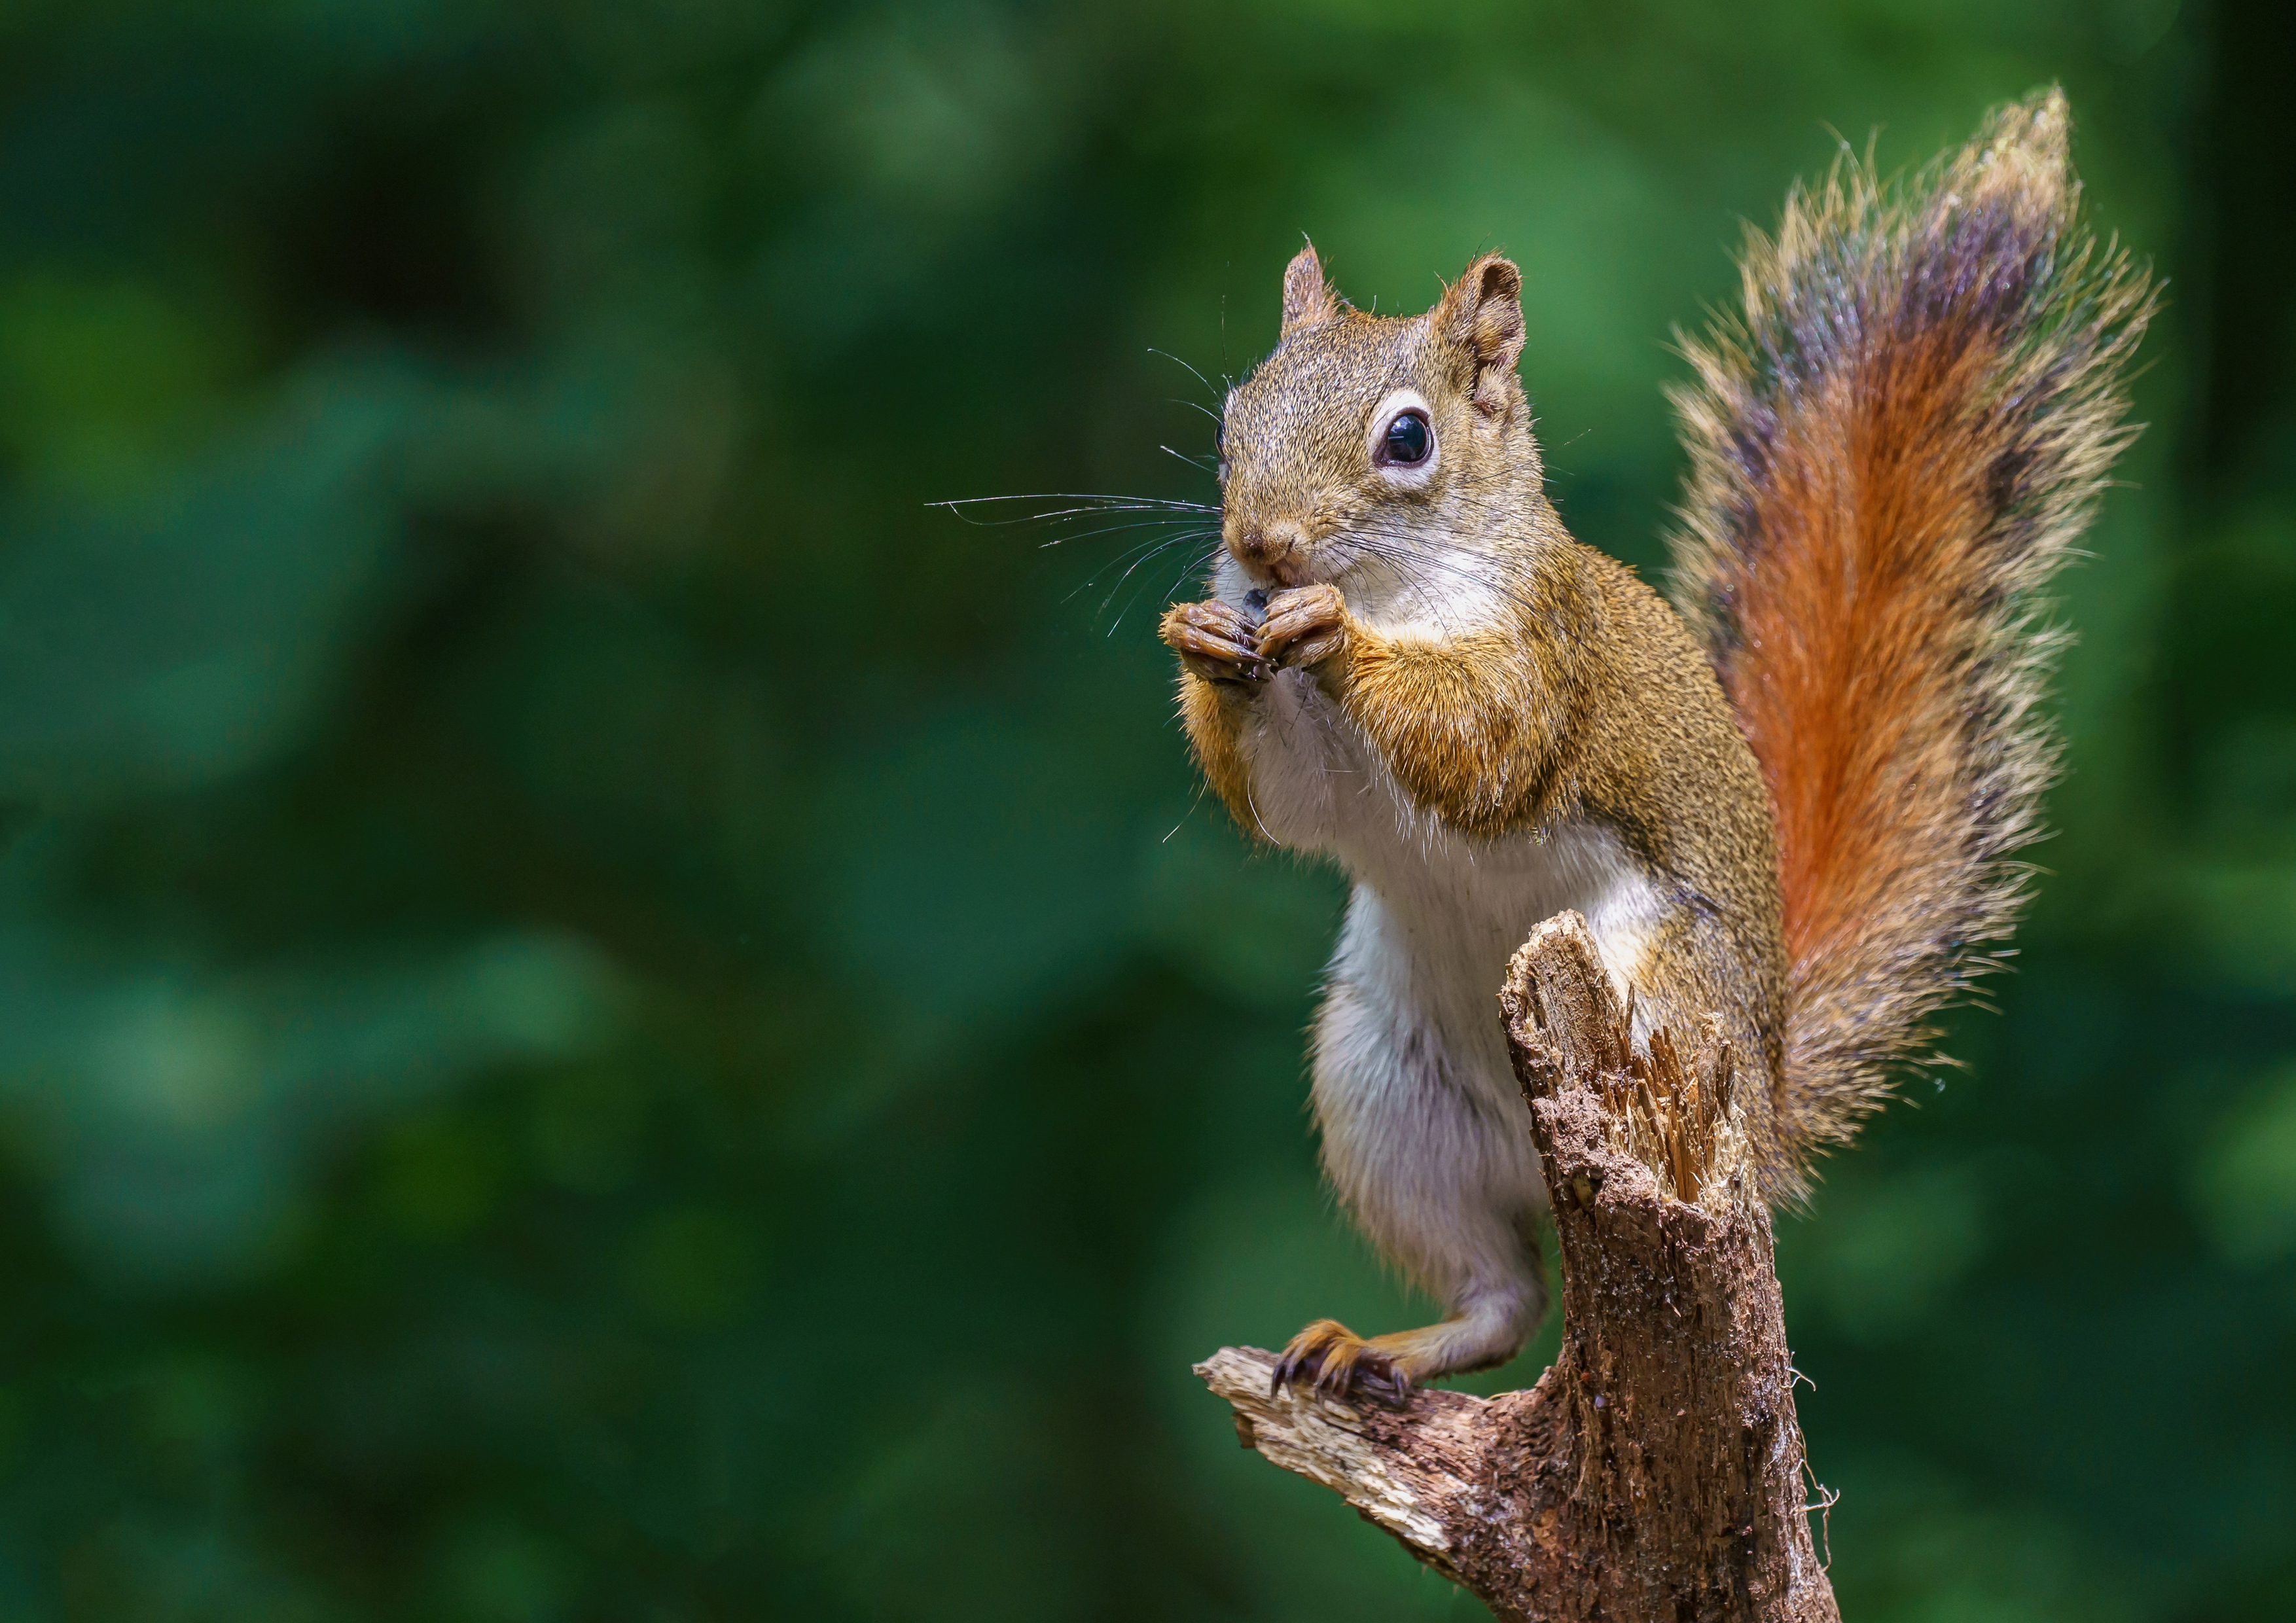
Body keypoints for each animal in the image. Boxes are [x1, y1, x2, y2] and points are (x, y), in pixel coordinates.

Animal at [1166, 92, 2149, 1404]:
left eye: (1408, 439)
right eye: (1234, 419)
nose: (1261, 549)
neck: (1397, 589)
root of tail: (1769, 1107)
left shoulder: (1547, 656)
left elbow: (1482, 744)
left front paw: (1333, 638)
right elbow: (1290, 805)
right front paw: (1205, 640)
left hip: (1661, 999)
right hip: (1389, 1094)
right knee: (1501, 1297)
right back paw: (1376, 1346)